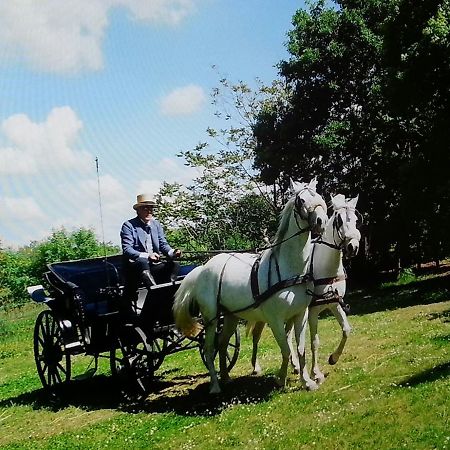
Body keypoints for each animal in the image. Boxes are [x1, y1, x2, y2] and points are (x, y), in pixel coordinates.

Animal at [173, 178, 326, 392]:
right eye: (301, 200)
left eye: (319, 196)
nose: (322, 221)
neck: (288, 268)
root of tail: (202, 269)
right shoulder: (275, 320)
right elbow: (286, 350)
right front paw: (280, 379)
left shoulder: (299, 315)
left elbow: (300, 349)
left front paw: (307, 381)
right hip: (211, 319)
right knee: (209, 348)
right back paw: (215, 385)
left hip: (230, 317)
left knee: (222, 344)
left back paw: (226, 377)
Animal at [248, 193, 360, 384]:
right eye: (338, 220)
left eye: (356, 220)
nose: (353, 247)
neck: (324, 268)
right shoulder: (312, 310)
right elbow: (314, 342)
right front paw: (316, 373)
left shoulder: (334, 304)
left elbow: (346, 330)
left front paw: (333, 358)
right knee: (258, 335)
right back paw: (257, 367)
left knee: (286, 335)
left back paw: (293, 366)